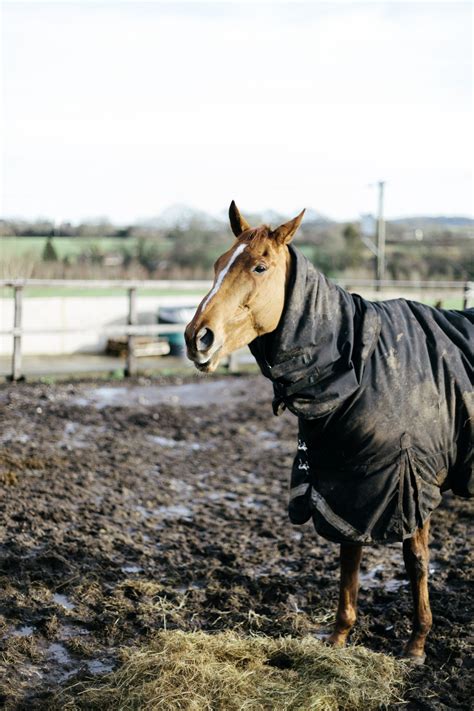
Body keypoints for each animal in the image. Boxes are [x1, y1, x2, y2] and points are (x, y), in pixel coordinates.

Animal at [183, 203, 472, 664]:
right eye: (218, 264)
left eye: (260, 266)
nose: (198, 337)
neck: (360, 364)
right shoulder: (349, 482)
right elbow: (348, 557)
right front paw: (339, 635)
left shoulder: (412, 482)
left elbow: (416, 559)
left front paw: (417, 642)